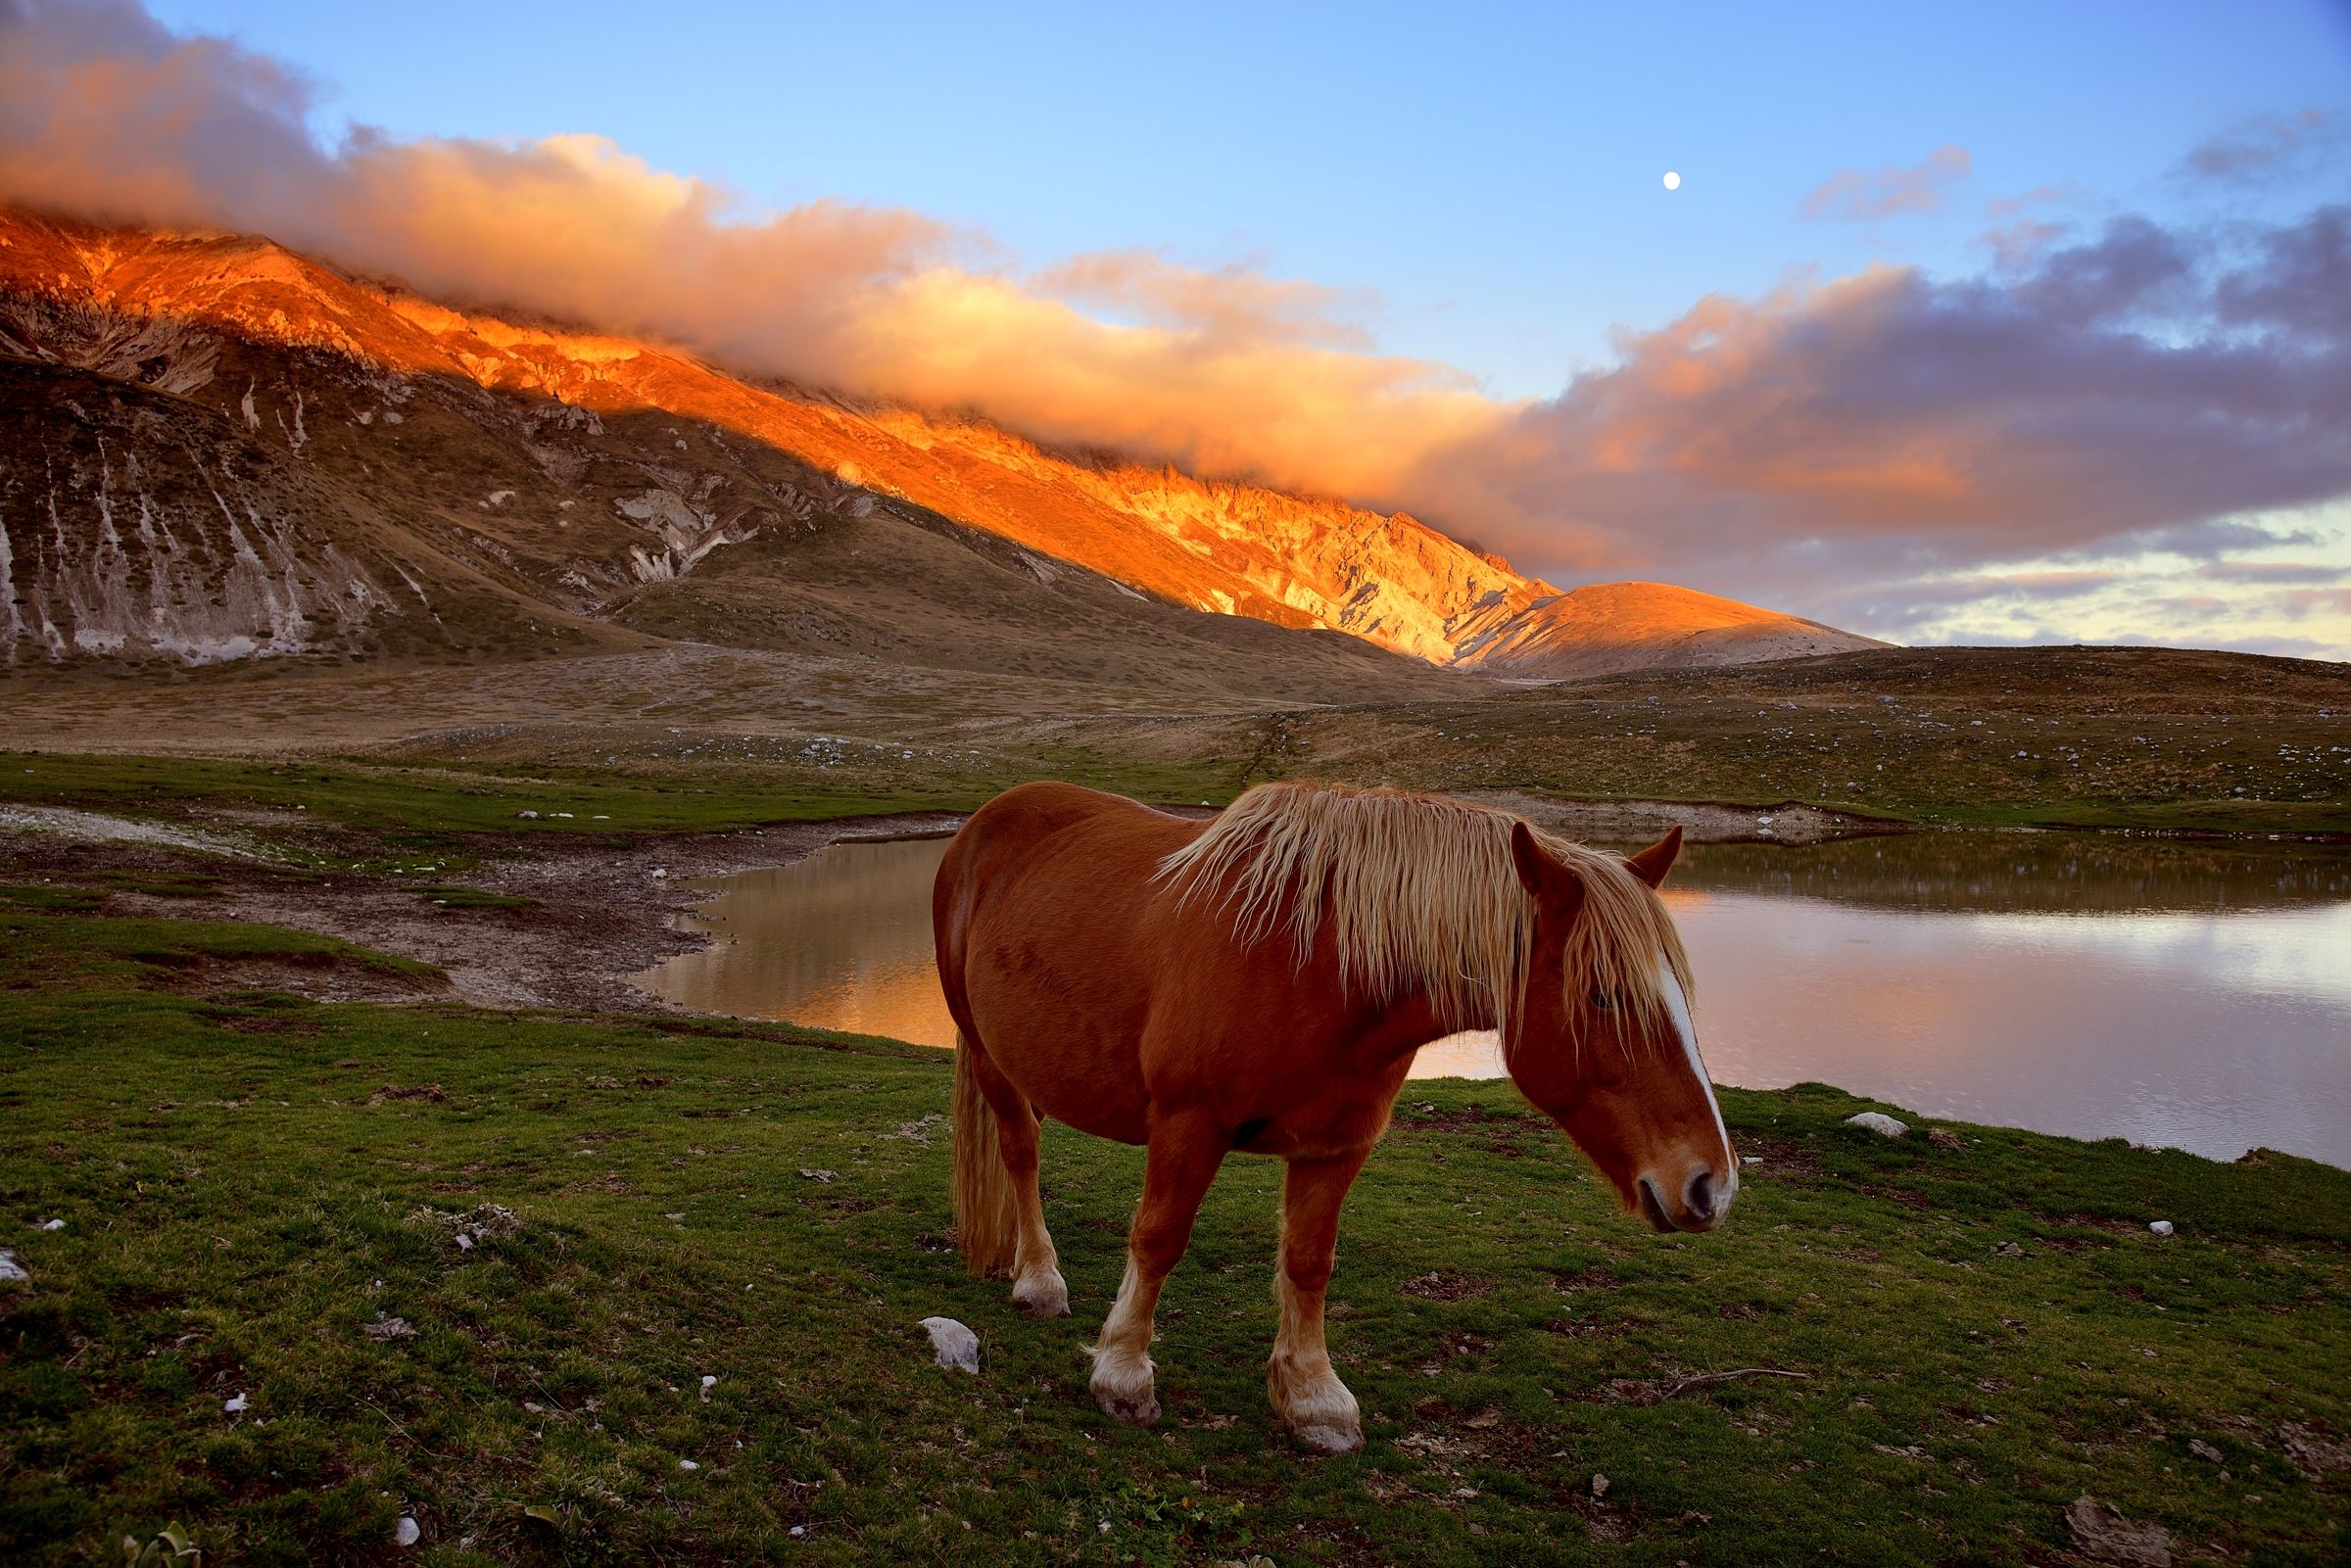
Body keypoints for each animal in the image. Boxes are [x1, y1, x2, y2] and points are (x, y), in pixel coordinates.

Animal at [932, 779, 1735, 1453]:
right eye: (1604, 995)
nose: (1710, 1186)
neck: (1314, 964)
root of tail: (986, 820)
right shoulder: (1189, 1123)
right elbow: (1158, 1239)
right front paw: (1123, 1376)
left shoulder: (1337, 1144)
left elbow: (1309, 1262)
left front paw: (1314, 1399)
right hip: (991, 1057)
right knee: (1021, 1153)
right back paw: (1039, 1279)